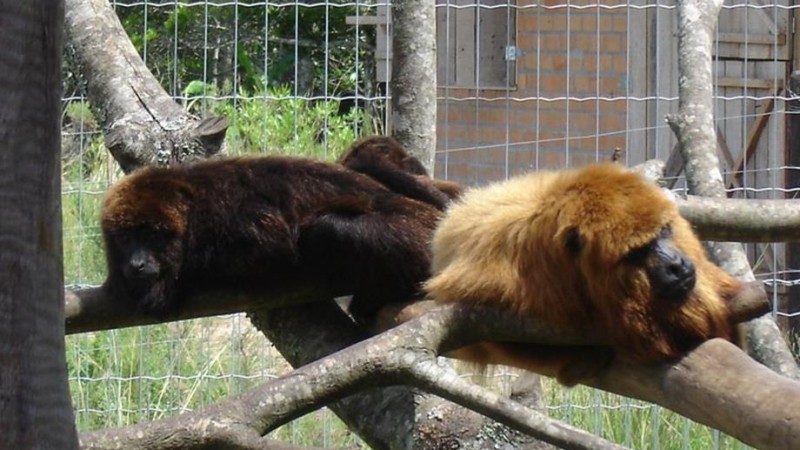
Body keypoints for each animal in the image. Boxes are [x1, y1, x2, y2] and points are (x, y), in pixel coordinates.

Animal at [101, 156, 440, 322]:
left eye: (153, 235)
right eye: (126, 238)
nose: (137, 263)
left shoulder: (226, 215)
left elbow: (270, 247)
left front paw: (178, 282)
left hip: (415, 234)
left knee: (330, 227)